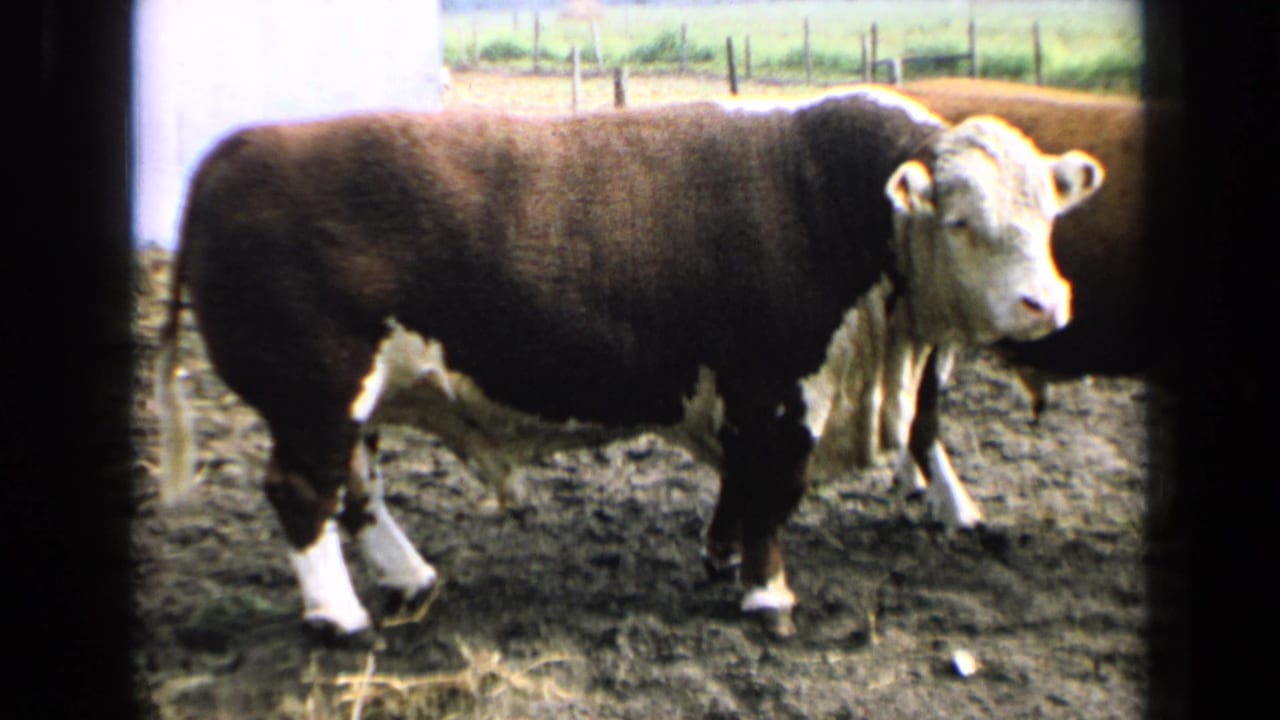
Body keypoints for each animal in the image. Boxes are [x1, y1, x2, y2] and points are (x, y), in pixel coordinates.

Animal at [153, 86, 1103, 640]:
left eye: (1048, 215)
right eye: (962, 222)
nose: (1047, 304)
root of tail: (242, 146)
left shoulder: (741, 393)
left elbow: (738, 486)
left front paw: (722, 558)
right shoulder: (779, 387)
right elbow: (772, 493)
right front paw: (767, 593)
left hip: (353, 400)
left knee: (357, 490)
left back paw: (409, 577)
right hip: (315, 392)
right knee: (303, 493)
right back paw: (339, 614)